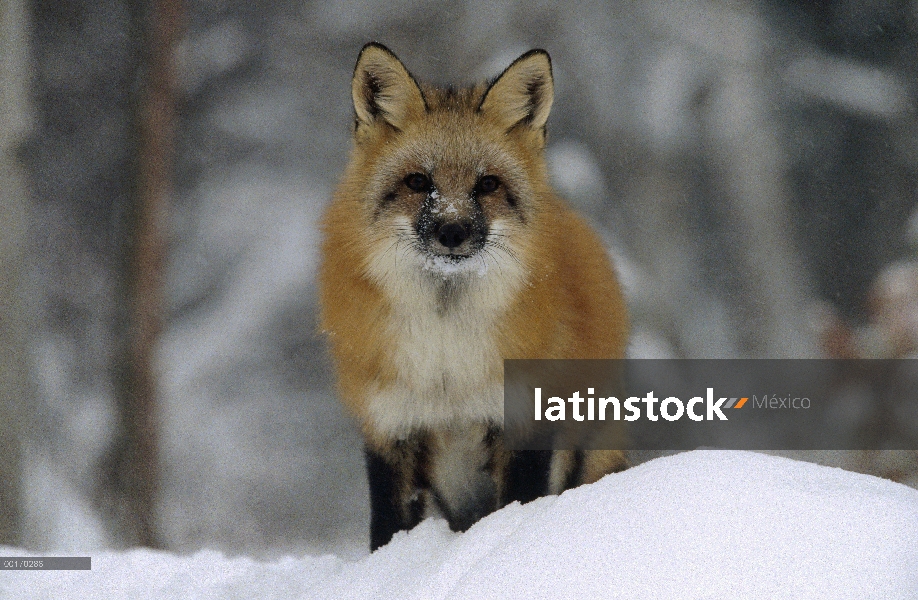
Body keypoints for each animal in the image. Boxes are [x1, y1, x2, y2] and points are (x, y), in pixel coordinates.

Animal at [320, 41, 628, 548]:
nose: (452, 231)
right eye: (418, 182)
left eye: (487, 185)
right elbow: (387, 530)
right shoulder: (391, 426)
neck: (448, 358)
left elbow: (517, 507)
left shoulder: (523, 419)